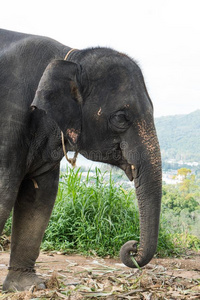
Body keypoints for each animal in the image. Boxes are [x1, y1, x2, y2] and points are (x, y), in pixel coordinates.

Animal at [0, 28, 162, 290]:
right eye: (121, 117)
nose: (132, 245)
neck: (70, 57)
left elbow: (40, 197)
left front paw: (28, 286)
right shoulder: (9, 118)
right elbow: (4, 191)